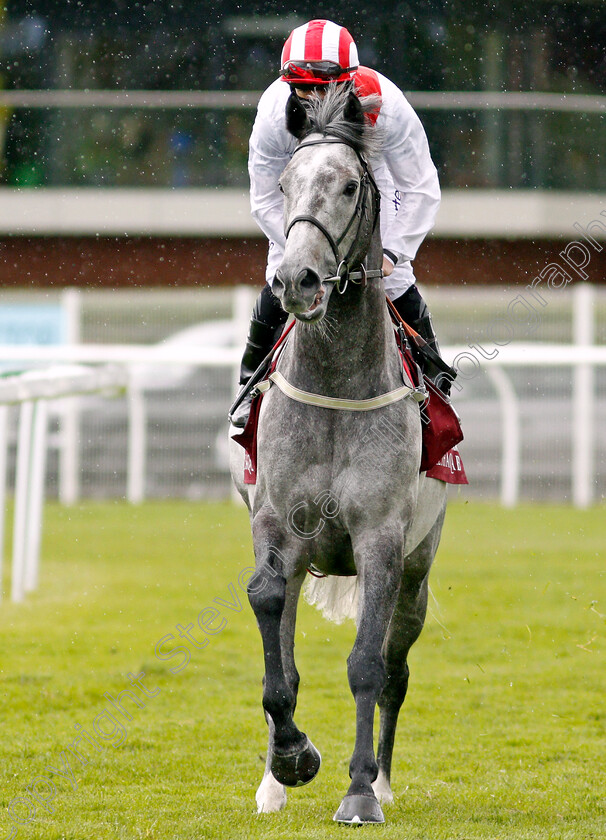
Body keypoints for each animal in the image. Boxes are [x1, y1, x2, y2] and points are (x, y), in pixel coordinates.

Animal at [230, 87, 448, 828]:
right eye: (284, 185)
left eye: (350, 185)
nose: (295, 278)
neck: (335, 385)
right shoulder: (277, 524)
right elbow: (273, 632)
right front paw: (291, 760)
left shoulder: (381, 539)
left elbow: (366, 667)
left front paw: (359, 790)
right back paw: (270, 783)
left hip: (419, 568)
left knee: (398, 666)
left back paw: (382, 780)